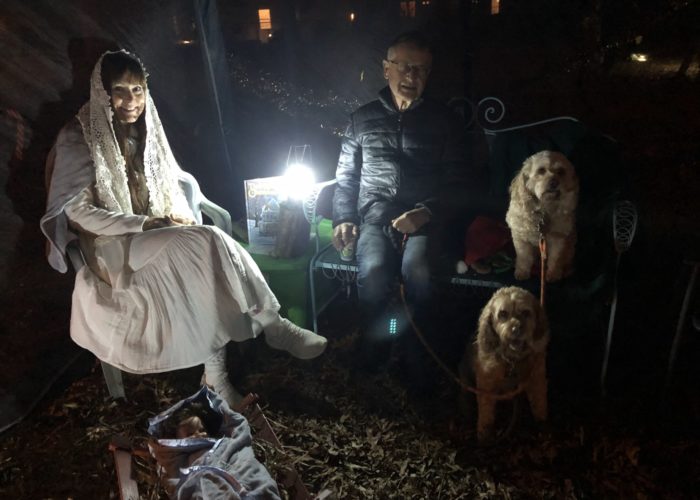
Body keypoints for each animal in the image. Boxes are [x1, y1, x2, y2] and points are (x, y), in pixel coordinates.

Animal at [459, 286, 549, 443]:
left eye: (526, 312)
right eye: (502, 314)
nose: (516, 329)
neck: (512, 361)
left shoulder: (536, 379)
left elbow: (539, 403)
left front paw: (542, 426)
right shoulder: (486, 386)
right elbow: (486, 410)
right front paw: (484, 433)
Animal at [506, 150, 579, 282]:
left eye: (561, 171)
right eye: (541, 170)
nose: (554, 182)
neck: (543, 210)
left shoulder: (558, 238)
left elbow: (556, 258)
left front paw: (553, 274)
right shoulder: (521, 238)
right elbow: (524, 257)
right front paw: (522, 271)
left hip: (570, 244)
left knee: (567, 258)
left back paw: (567, 270)